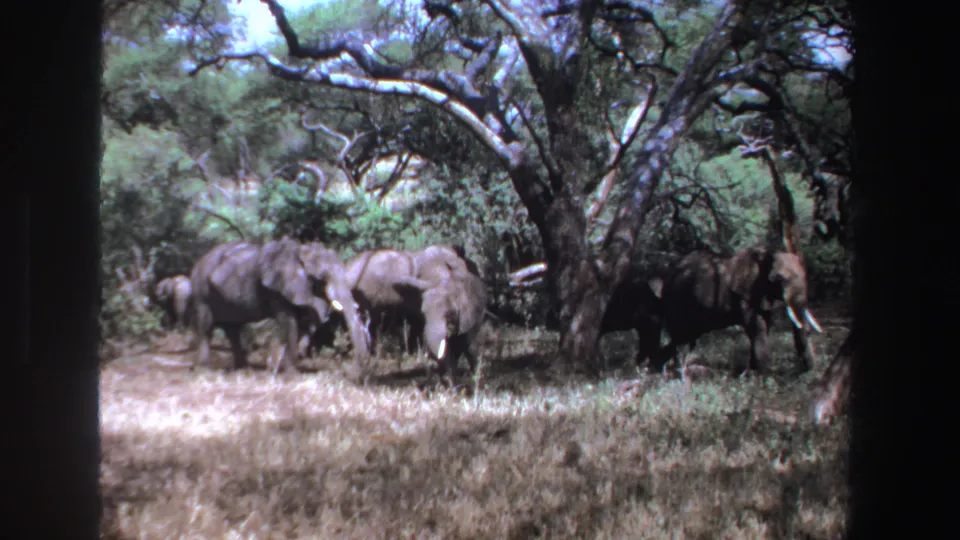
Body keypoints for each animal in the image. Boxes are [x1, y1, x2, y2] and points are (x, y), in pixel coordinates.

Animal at [188, 239, 369, 372]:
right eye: (322, 277)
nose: (356, 369)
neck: (302, 250)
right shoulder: (276, 288)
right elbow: (289, 321)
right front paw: (291, 373)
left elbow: (306, 319)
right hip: (201, 289)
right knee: (206, 326)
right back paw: (205, 369)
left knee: (232, 328)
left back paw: (242, 368)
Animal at [651, 246, 823, 374]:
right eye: (778, 279)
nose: (808, 372)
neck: (766, 255)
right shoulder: (745, 295)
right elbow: (757, 327)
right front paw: (761, 375)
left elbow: (764, 325)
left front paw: (753, 373)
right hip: (678, 301)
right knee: (680, 339)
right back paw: (668, 371)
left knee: (684, 340)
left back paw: (660, 369)